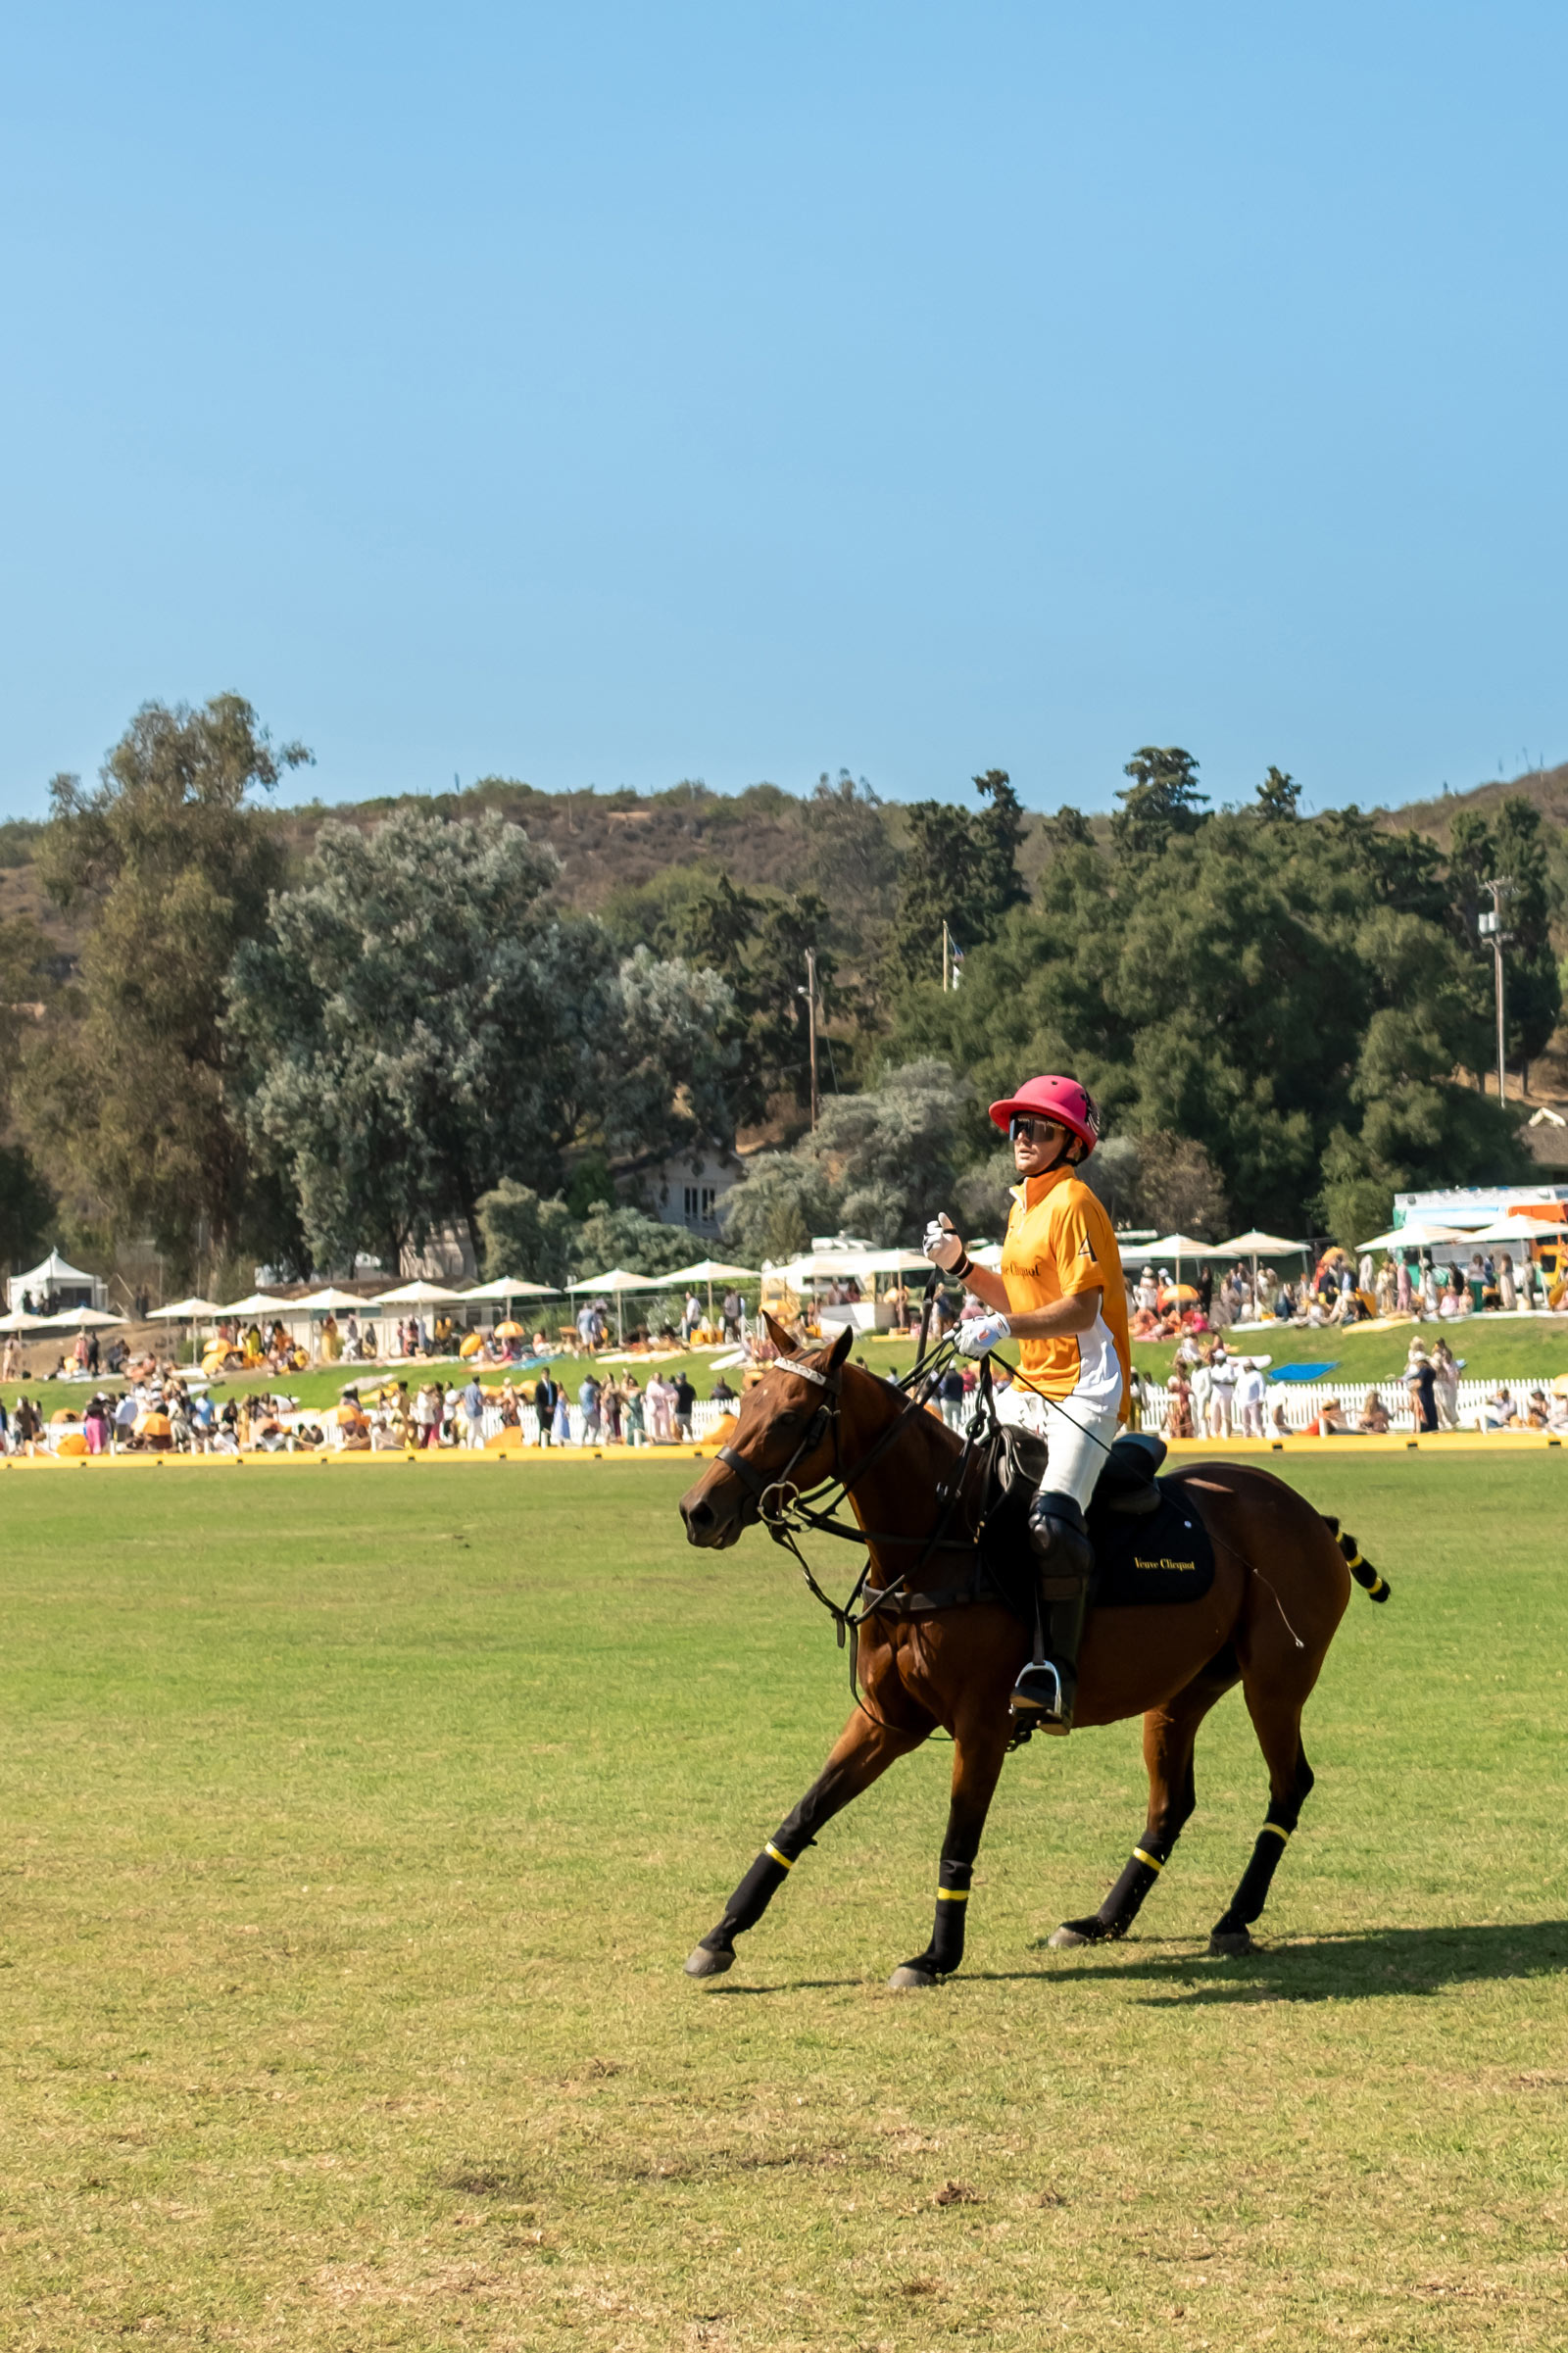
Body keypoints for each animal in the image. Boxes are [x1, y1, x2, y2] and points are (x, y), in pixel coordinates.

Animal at [673, 1327, 1384, 1985]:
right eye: (745, 1401)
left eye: (792, 1415)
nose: (697, 1511)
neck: (935, 1540)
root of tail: (1311, 1516)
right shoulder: (886, 1719)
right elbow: (802, 1814)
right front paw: (719, 1936)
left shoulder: (981, 1724)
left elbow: (957, 1838)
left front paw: (935, 1957)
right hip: (1182, 1691)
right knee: (1171, 1803)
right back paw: (1101, 1921)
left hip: (1275, 1681)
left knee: (1289, 1784)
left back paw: (1235, 1917)